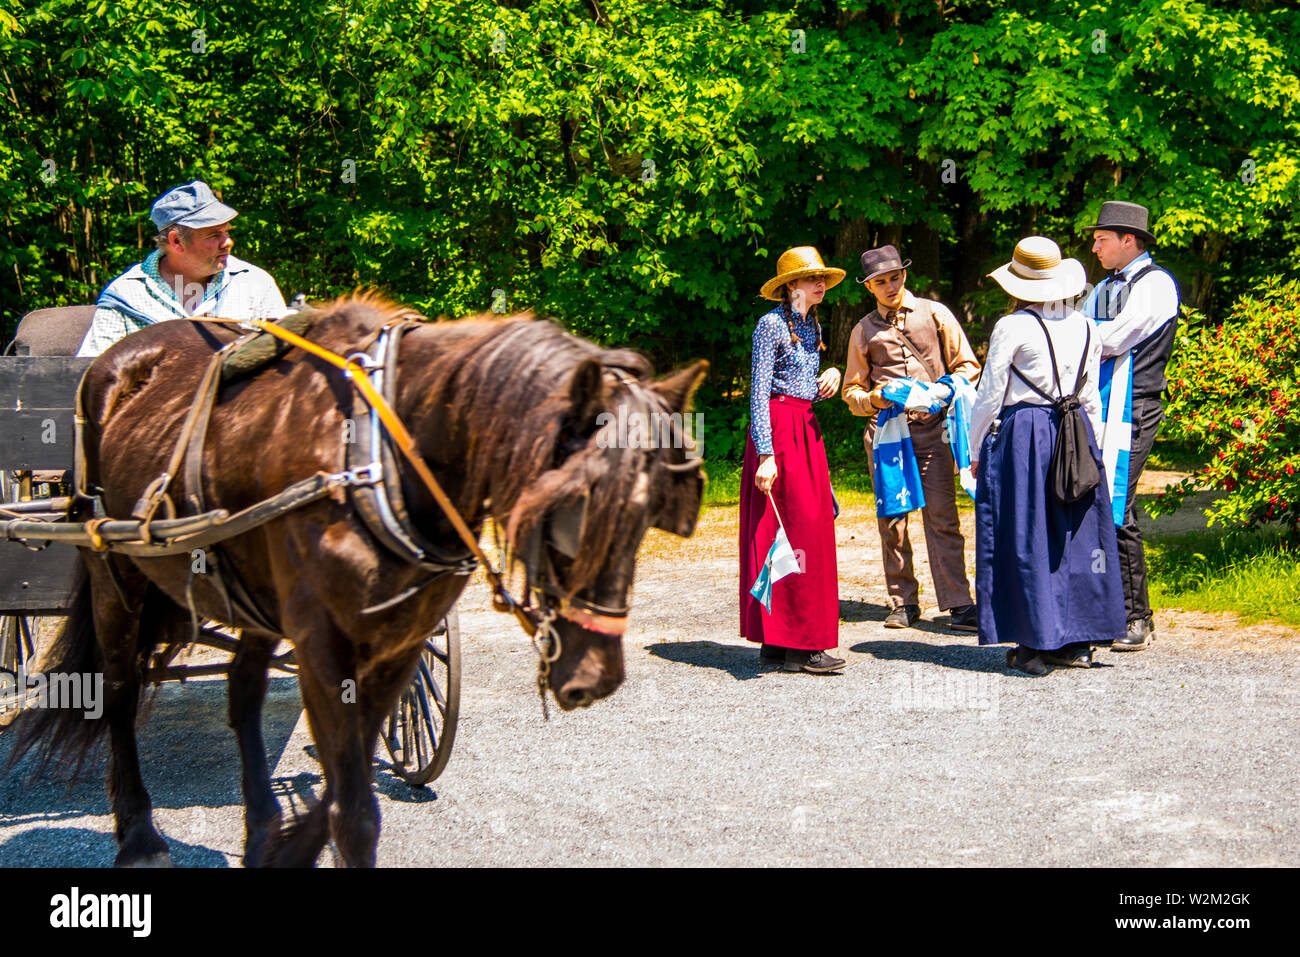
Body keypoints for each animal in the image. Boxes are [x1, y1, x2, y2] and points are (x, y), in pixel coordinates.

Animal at [10, 297, 707, 868]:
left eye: (650, 512)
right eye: (568, 512)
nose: (597, 678)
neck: (382, 458)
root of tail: (116, 361)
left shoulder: (399, 643)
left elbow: (346, 795)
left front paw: (288, 847)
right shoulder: (322, 644)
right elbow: (354, 816)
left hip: (253, 598)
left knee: (243, 689)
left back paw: (260, 828)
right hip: (115, 578)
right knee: (119, 694)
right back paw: (138, 835)